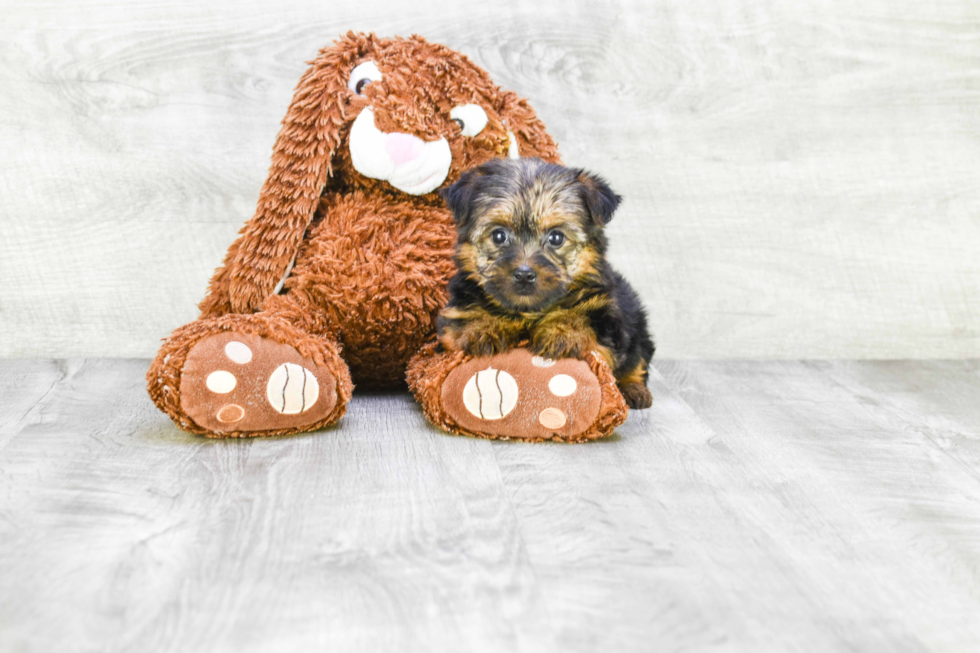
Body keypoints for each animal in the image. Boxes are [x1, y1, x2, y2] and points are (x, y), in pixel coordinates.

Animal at [438, 157, 656, 408]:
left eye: (556, 238)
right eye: (499, 235)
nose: (524, 274)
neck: (529, 311)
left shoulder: (607, 319)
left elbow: (583, 321)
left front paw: (563, 331)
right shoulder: (454, 313)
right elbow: (464, 319)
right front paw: (482, 327)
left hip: (638, 326)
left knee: (637, 360)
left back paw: (634, 389)